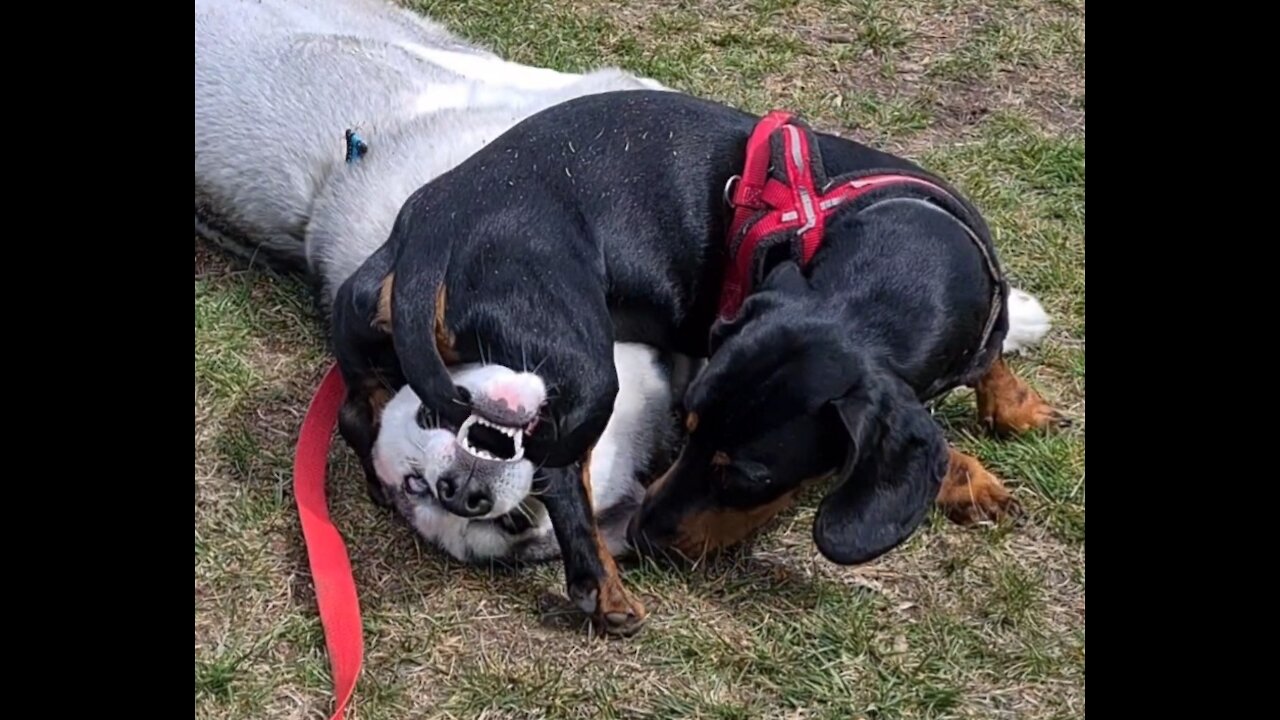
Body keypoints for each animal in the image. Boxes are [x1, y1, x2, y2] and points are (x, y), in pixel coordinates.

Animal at [335, 89, 1064, 632]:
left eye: (745, 475)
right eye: (689, 433)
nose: (647, 537)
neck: (905, 261)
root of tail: (430, 236)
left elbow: (990, 360)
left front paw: (1015, 412)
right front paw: (968, 475)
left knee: (356, 409)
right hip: (582, 369)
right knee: (560, 474)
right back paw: (603, 589)